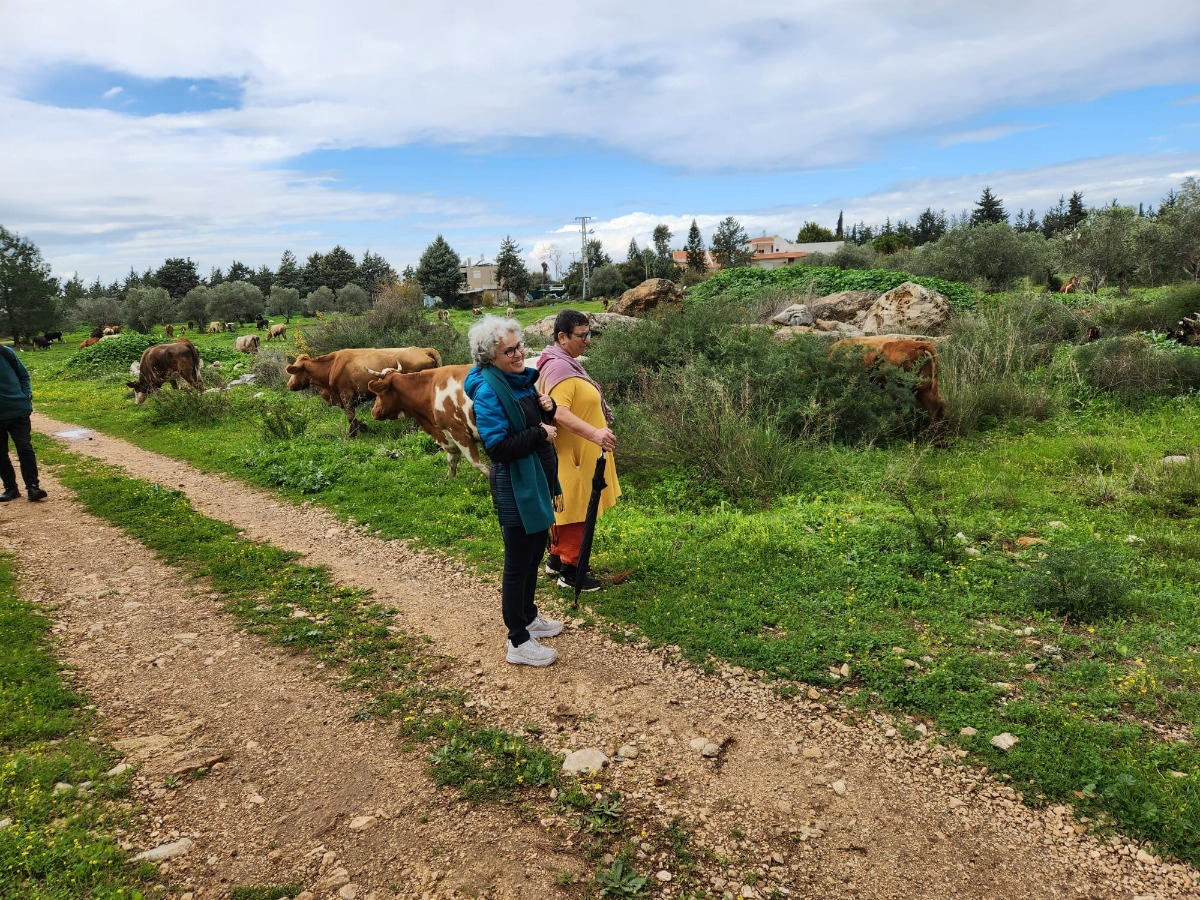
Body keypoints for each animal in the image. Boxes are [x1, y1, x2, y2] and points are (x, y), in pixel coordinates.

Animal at [285, 348, 441, 439]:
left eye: (295, 371)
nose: (289, 385)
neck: (332, 366)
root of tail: (424, 349)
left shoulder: (346, 396)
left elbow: (350, 417)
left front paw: (352, 435)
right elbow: (354, 418)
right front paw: (363, 428)